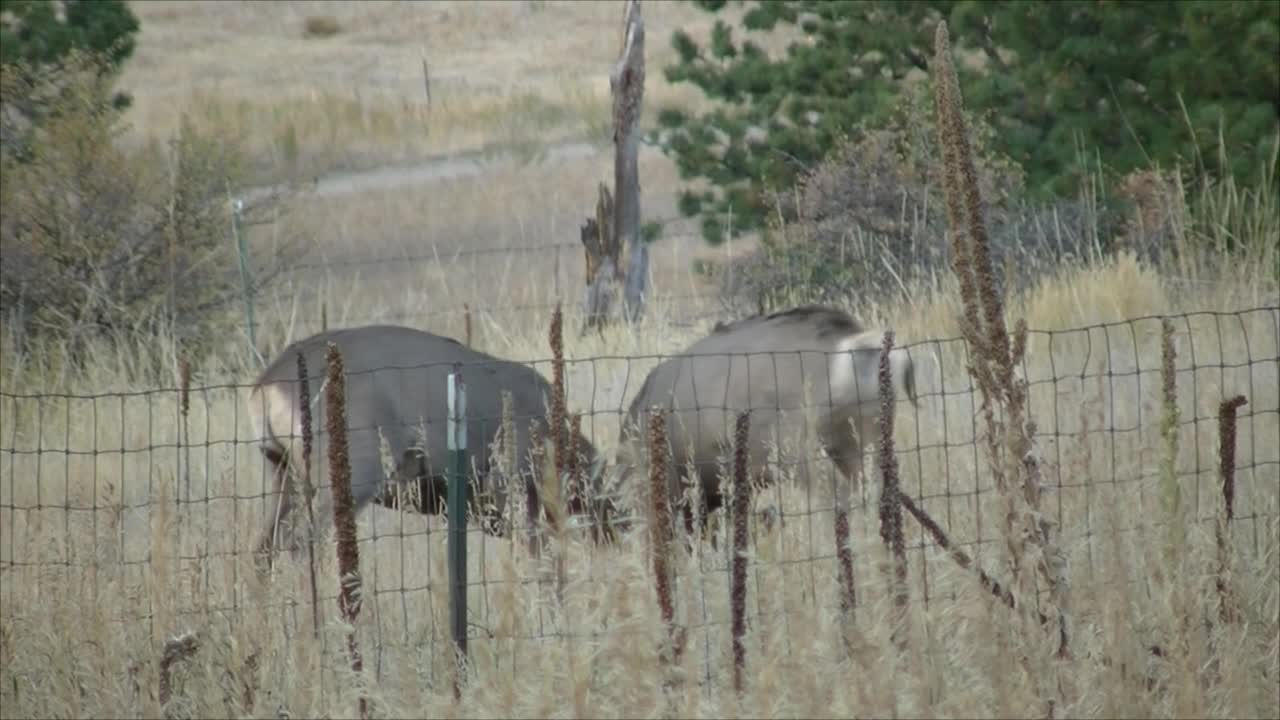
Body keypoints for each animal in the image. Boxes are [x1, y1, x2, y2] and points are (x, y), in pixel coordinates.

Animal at [250, 322, 614, 568]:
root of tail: (265, 386)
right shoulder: (511, 483)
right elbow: (541, 558)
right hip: (350, 467)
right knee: (303, 542)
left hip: (281, 468)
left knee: (264, 547)